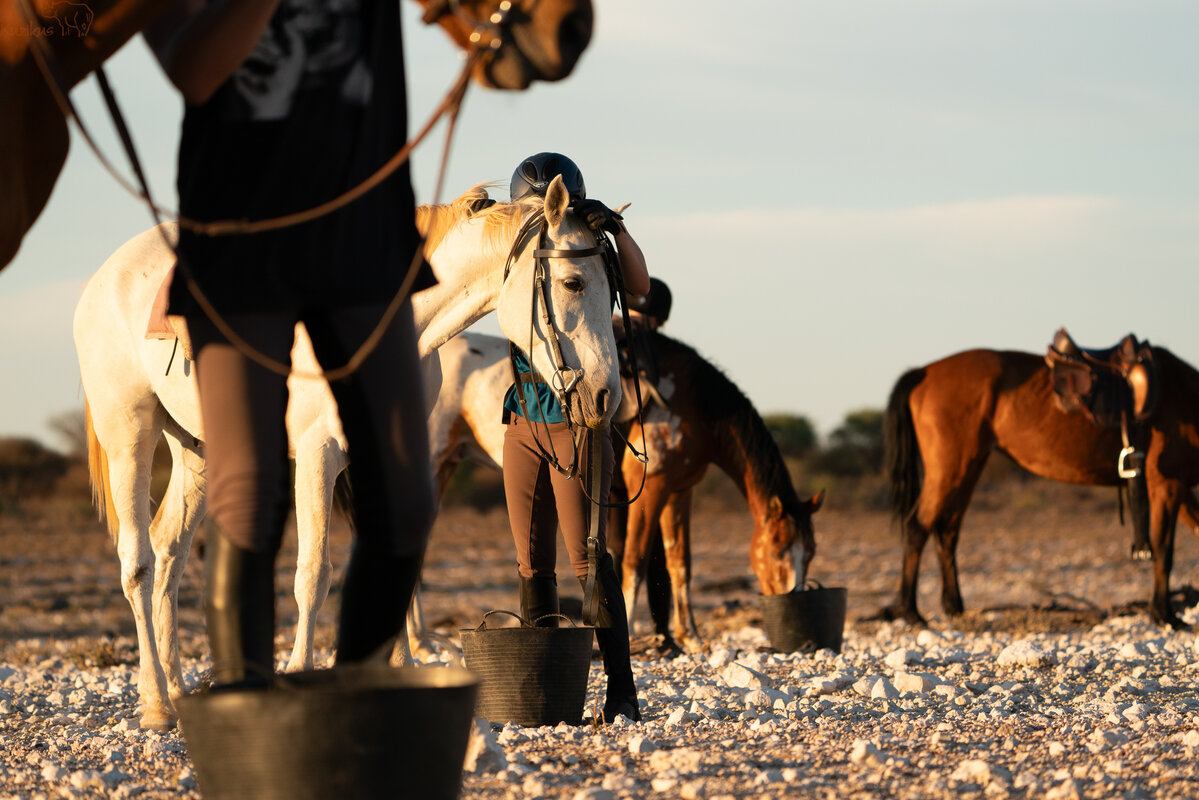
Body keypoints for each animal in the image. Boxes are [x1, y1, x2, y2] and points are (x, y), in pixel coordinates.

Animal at [75, 177, 621, 729]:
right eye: (574, 282)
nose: (606, 396)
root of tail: (102, 279)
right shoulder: (318, 453)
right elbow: (313, 573)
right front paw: (299, 671)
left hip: (196, 450)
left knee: (169, 551)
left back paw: (177, 688)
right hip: (130, 433)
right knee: (138, 563)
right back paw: (156, 704)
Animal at [427, 328, 825, 652]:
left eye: (811, 553)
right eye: (778, 549)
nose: (791, 599)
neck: (693, 400)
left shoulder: (680, 491)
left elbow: (680, 562)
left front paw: (691, 637)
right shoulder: (652, 489)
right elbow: (635, 559)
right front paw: (631, 633)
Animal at [880, 345, 1199, 629]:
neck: (1182, 392)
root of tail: (923, 372)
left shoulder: (1179, 489)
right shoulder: (1168, 484)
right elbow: (1164, 548)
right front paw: (1164, 615)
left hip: (968, 469)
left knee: (947, 532)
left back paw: (954, 607)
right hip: (949, 469)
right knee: (917, 527)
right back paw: (910, 612)